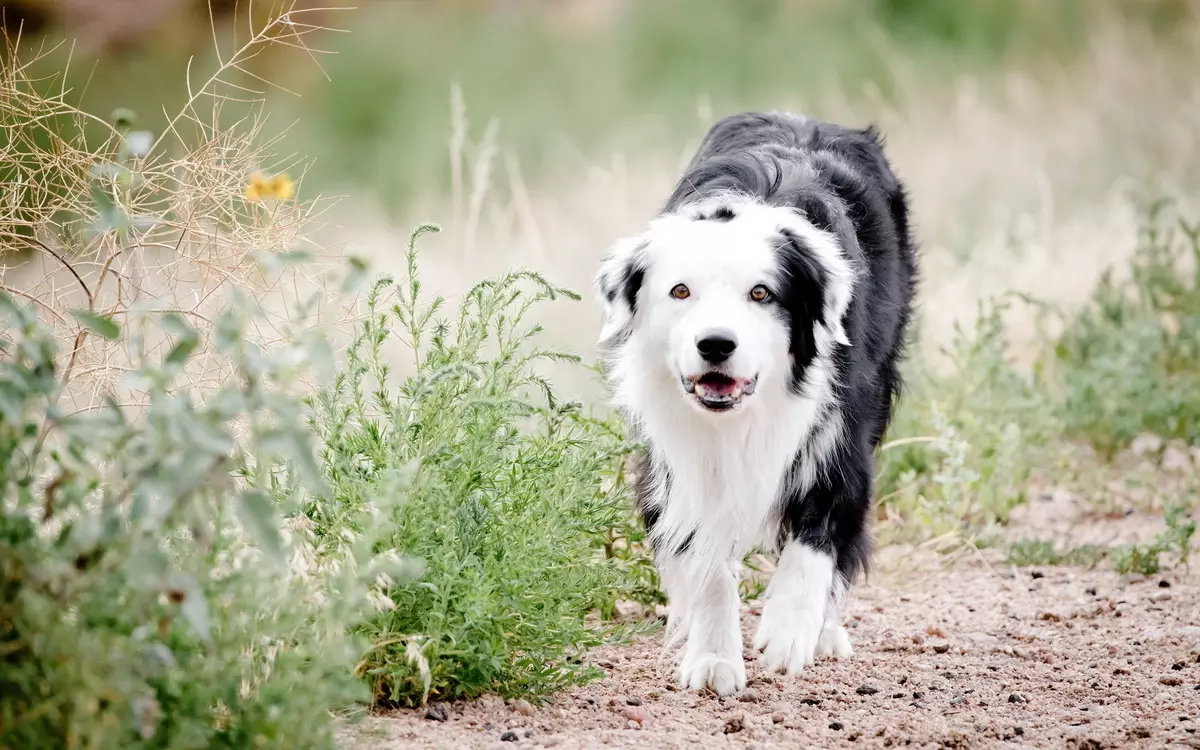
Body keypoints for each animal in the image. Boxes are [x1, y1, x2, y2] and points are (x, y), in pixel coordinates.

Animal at [592, 112, 916, 696]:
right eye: (680, 291)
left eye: (761, 294)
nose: (716, 345)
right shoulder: (677, 457)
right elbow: (707, 559)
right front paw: (714, 657)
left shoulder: (838, 432)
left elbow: (819, 533)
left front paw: (789, 630)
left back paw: (824, 630)